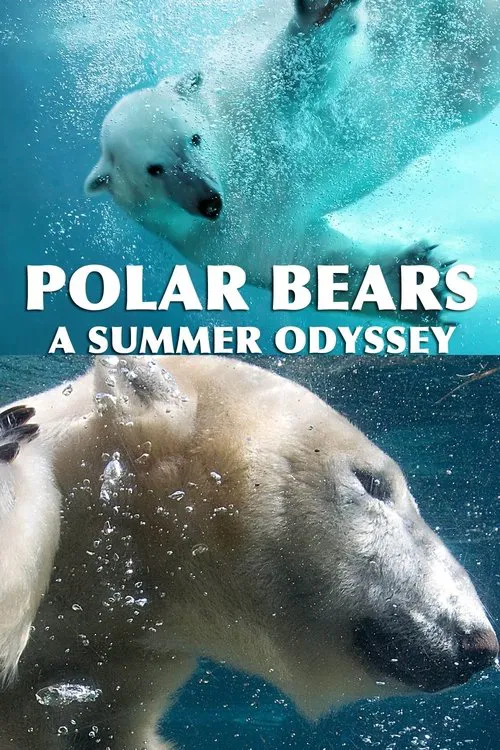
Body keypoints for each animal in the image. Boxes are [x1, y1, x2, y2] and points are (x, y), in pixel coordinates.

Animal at [84, 0, 500, 310]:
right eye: (154, 170)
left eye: (194, 139)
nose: (210, 202)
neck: (234, 163)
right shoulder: (223, 239)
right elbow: (307, 262)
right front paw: (416, 281)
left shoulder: (251, 101)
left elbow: (302, 68)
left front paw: (318, 9)